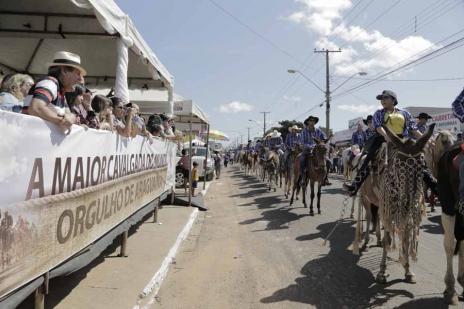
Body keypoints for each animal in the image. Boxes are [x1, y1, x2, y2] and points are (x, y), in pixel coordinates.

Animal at [376, 122, 436, 284]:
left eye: (421, 165)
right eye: (398, 165)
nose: (408, 202)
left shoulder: (409, 213)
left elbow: (407, 238)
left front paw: (407, 269)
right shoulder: (388, 211)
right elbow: (387, 239)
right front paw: (382, 271)